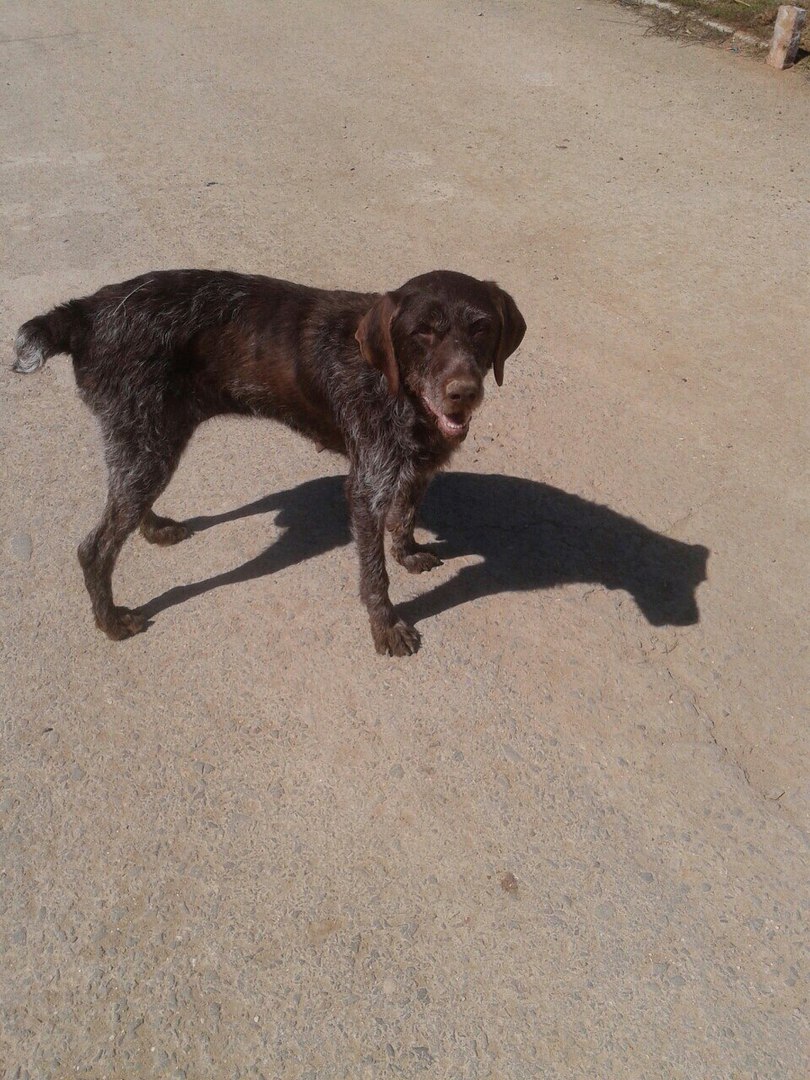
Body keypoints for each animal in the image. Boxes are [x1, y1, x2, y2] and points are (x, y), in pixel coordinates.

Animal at [13, 269, 526, 655]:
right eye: (423, 332)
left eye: (481, 327)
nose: (464, 393)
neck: (392, 382)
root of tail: (85, 312)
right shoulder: (368, 487)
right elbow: (373, 573)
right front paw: (385, 626)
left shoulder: (415, 468)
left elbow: (405, 518)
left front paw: (408, 552)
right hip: (147, 446)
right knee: (95, 548)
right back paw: (111, 623)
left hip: (152, 444)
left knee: (127, 504)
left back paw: (154, 527)